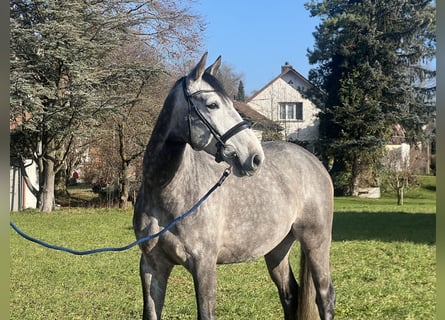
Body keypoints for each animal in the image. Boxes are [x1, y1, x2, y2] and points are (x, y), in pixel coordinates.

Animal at [134, 53, 334, 320]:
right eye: (212, 105)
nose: (255, 157)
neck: (167, 193)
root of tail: (314, 161)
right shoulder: (151, 266)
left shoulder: (204, 265)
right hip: (278, 248)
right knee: (290, 294)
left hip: (316, 241)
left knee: (325, 296)